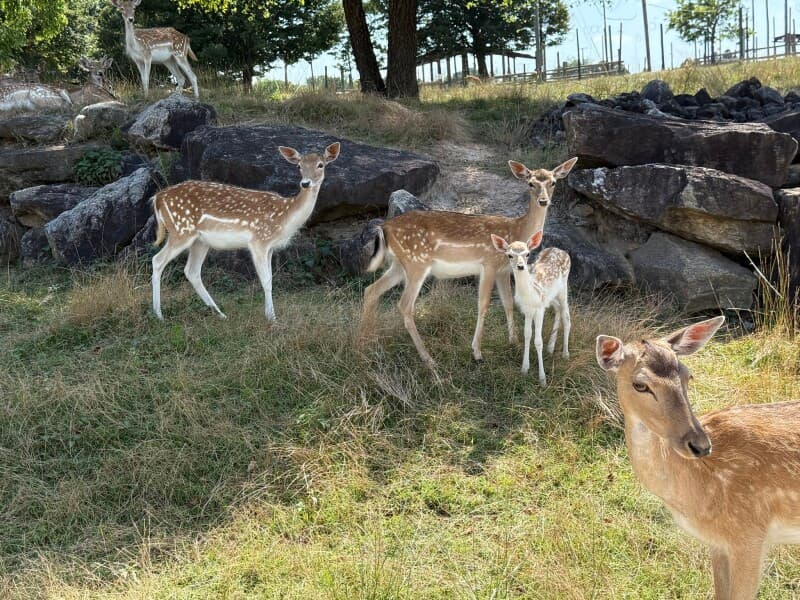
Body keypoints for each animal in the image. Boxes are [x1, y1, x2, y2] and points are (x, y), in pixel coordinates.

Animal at [151, 142, 340, 321]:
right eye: (299, 166)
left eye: (321, 165)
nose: (305, 183)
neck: (283, 217)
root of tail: (157, 198)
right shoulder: (258, 241)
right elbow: (266, 281)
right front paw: (272, 319)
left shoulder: (269, 246)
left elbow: (271, 278)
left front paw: (269, 315)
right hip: (181, 230)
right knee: (157, 260)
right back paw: (158, 315)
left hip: (200, 241)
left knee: (191, 271)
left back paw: (220, 314)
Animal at [491, 230, 570, 384]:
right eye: (509, 255)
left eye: (527, 254)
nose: (521, 266)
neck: (530, 293)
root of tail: (560, 250)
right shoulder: (527, 310)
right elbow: (527, 335)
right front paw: (524, 369)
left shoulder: (539, 309)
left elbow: (538, 341)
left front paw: (542, 378)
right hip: (551, 297)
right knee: (558, 310)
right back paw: (551, 347)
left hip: (564, 288)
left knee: (567, 317)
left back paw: (565, 354)